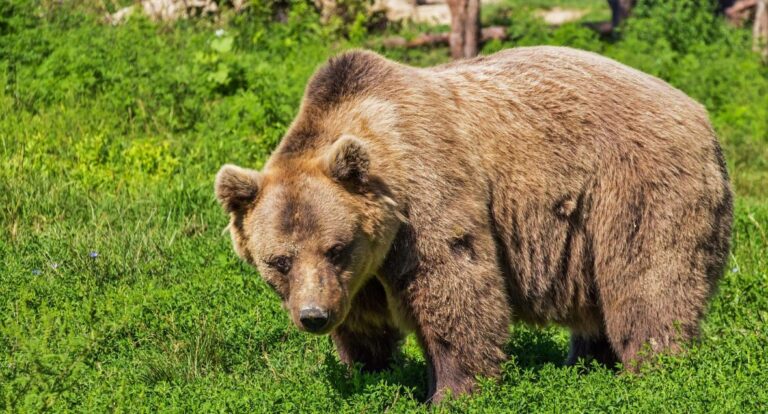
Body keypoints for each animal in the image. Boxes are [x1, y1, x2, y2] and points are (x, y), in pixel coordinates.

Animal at [214, 47, 732, 402]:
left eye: (335, 247)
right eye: (279, 260)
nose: (313, 316)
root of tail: (701, 113)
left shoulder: (427, 198)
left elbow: (455, 288)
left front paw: (452, 391)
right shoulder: (360, 273)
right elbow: (364, 323)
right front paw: (368, 371)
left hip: (636, 187)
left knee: (648, 283)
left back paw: (654, 371)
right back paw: (587, 364)